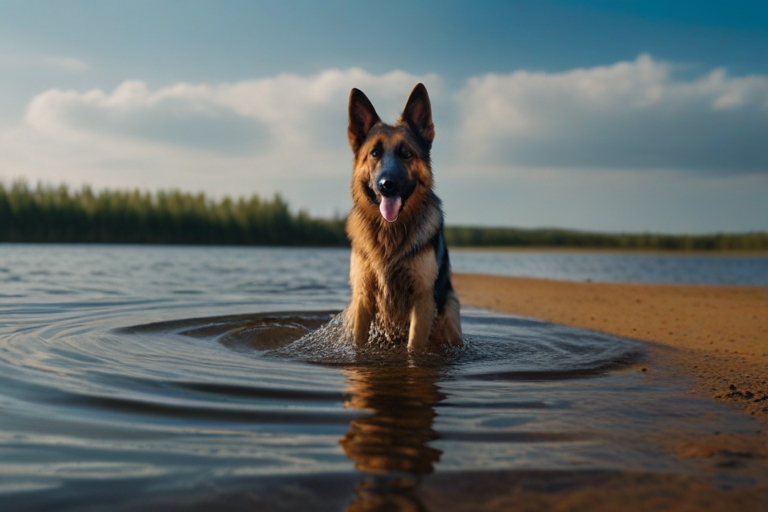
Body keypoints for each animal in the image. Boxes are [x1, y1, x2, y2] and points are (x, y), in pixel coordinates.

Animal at [346, 84, 462, 352]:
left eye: (406, 154)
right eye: (374, 153)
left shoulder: (422, 301)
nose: (386, 185)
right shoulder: (363, 299)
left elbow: (414, 347)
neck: (390, 234)